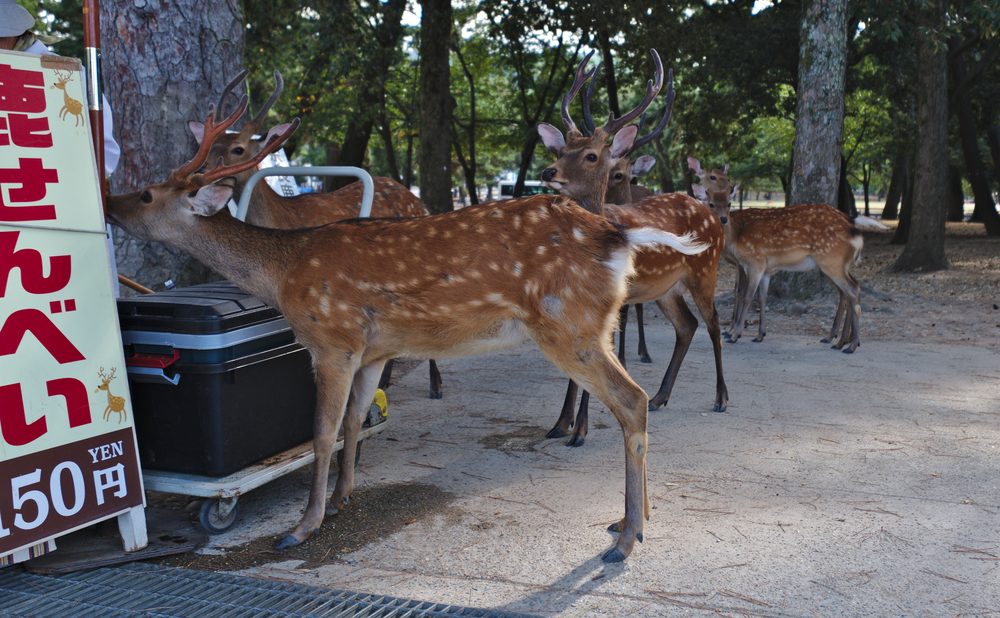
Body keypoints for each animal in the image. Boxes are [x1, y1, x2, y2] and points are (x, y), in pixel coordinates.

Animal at [190, 70, 442, 399]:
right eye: (210, 146)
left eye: (238, 149)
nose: (200, 175)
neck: (283, 219)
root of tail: (418, 200)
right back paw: (384, 382)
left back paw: (435, 385)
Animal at [537, 50, 728, 448]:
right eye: (562, 149)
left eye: (591, 155)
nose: (548, 172)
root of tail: (712, 214)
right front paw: (560, 423)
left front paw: (580, 429)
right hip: (666, 289)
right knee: (687, 325)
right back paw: (659, 397)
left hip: (706, 270)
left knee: (714, 324)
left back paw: (721, 397)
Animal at [689, 160, 864, 352]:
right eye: (711, 204)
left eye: (729, 203)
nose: (723, 219)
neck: (735, 238)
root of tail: (854, 229)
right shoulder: (763, 269)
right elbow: (761, 297)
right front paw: (759, 335)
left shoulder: (754, 263)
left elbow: (745, 295)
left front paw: (734, 334)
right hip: (835, 264)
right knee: (849, 289)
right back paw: (839, 340)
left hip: (831, 261)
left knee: (851, 290)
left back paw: (850, 344)